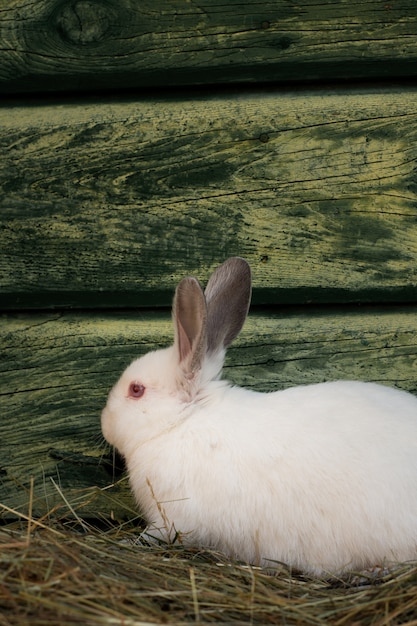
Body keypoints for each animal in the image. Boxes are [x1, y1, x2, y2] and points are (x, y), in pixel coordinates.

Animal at [100, 256, 416, 572]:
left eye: (136, 389)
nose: (103, 421)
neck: (182, 422)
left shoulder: (172, 518)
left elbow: (154, 536)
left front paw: (127, 542)